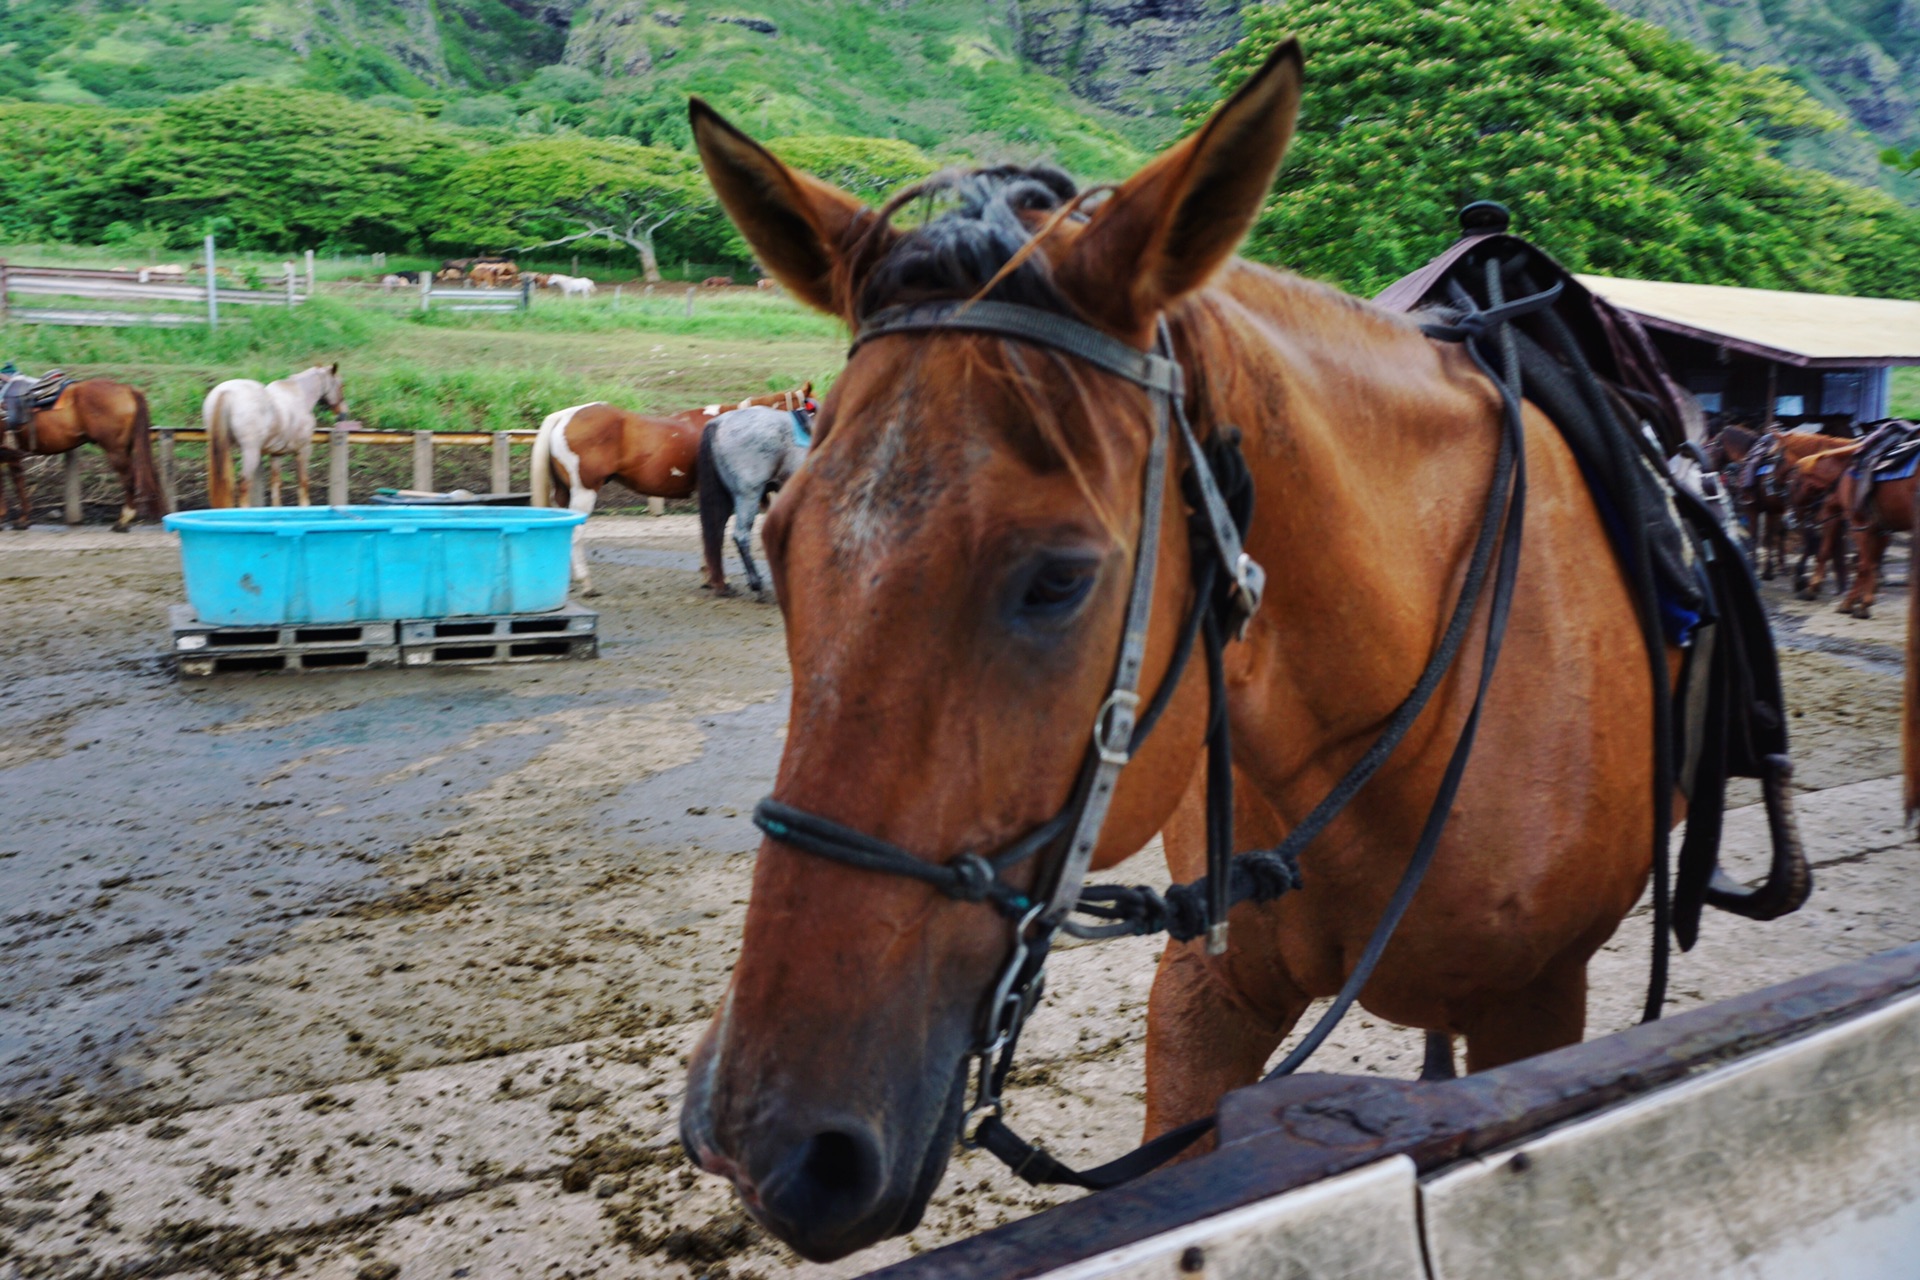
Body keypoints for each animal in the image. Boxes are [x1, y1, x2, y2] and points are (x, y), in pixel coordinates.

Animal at [206, 362, 349, 506]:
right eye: (341, 385)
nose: (343, 414)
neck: (300, 395)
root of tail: (226, 392)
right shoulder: (303, 451)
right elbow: (303, 481)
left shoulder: (276, 454)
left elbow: (276, 484)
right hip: (250, 452)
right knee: (244, 484)